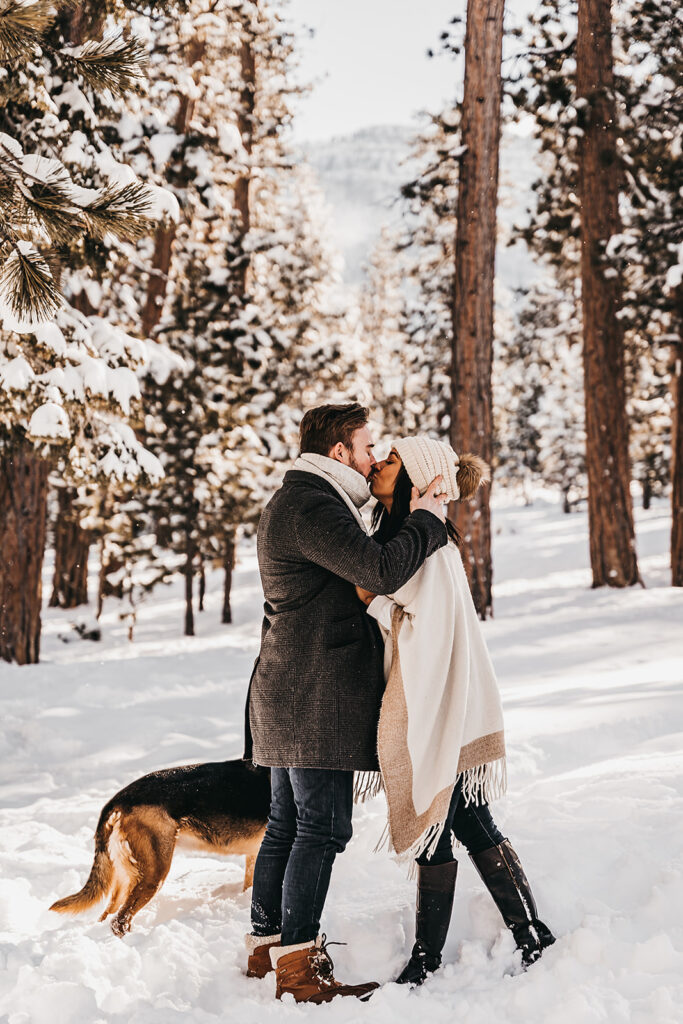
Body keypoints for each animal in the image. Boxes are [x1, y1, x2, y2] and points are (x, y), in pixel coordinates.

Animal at [50, 761, 270, 937]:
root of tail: (118, 799)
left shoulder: (255, 857)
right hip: (154, 876)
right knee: (119, 921)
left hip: (126, 879)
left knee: (107, 916)